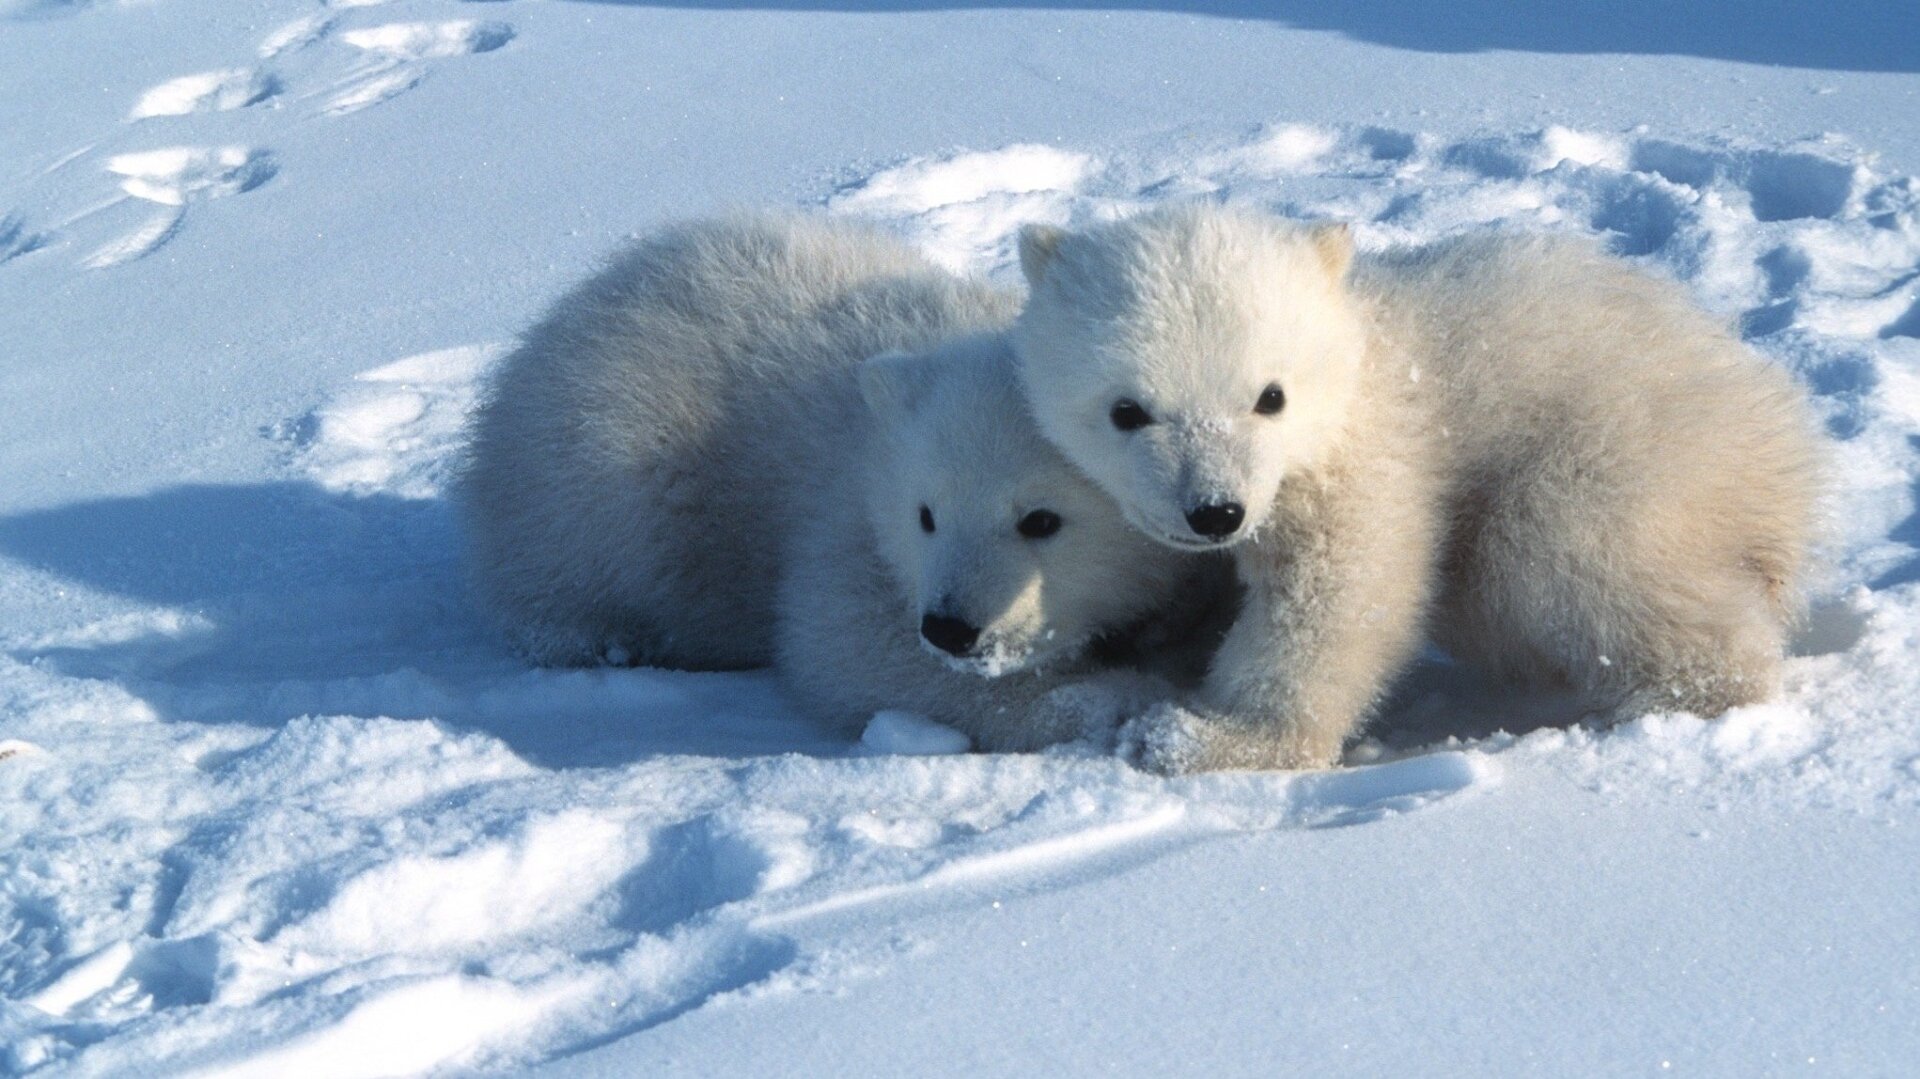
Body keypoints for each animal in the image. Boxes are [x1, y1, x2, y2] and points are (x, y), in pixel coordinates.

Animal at [1010, 203, 1823, 773]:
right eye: (1126, 410)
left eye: (1270, 396)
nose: (1216, 512)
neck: (1362, 355)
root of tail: (1788, 450)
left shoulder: (1368, 458)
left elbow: (1339, 596)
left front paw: (1199, 737)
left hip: (1632, 454)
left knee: (1558, 555)